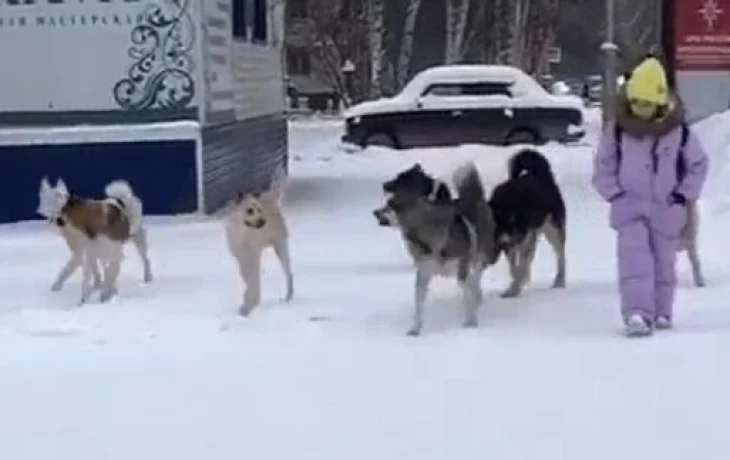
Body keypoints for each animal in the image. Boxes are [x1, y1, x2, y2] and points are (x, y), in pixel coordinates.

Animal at [222, 169, 292, 316]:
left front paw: (248, 306)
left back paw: (289, 296)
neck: (241, 233)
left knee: (289, 274)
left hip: (281, 247)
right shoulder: (240, 258)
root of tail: (270, 196)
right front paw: (248, 303)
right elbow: (249, 281)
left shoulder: (252, 256)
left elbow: (253, 282)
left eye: (259, 209)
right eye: (250, 210)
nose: (263, 221)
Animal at [384, 162, 498, 334]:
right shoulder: (423, 273)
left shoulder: (462, 268)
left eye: (390, 205)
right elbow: (419, 304)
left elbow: (467, 296)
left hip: (479, 257)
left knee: (475, 279)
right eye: (386, 204)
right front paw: (415, 329)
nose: (375, 212)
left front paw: (470, 323)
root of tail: (476, 198)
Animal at [486, 148, 564, 298]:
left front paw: (514, 288)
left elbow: (520, 266)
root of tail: (542, 175)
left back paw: (560, 281)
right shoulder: (509, 243)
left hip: (552, 231)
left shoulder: (520, 238)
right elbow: (514, 268)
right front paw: (515, 285)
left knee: (560, 256)